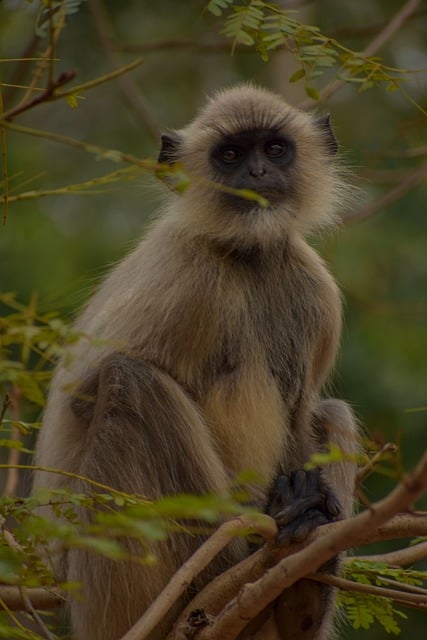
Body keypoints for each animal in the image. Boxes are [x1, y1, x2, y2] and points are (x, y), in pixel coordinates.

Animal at [33, 85, 360, 640]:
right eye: (230, 154)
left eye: (274, 149)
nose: (256, 173)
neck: (246, 257)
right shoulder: (187, 279)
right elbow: (84, 396)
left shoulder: (315, 291)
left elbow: (300, 413)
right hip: (112, 585)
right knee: (133, 383)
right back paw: (219, 577)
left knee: (331, 411)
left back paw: (300, 593)